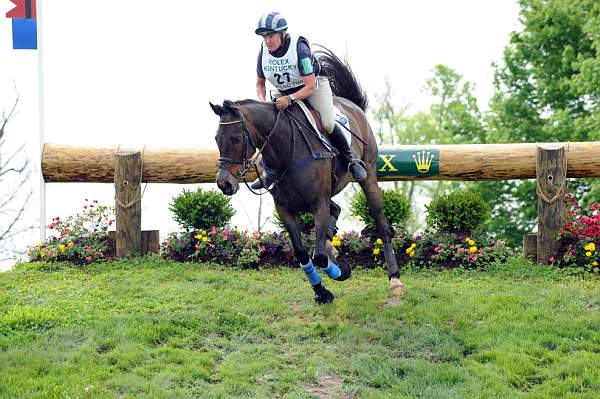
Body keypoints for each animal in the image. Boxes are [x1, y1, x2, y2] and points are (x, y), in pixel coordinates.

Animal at [210, 49, 404, 306]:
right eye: (216, 138)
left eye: (235, 138)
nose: (224, 184)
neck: (286, 151)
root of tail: (352, 105)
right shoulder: (284, 207)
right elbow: (303, 254)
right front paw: (321, 290)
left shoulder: (317, 202)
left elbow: (319, 256)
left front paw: (341, 271)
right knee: (336, 210)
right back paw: (333, 244)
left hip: (368, 174)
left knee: (381, 224)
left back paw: (395, 279)